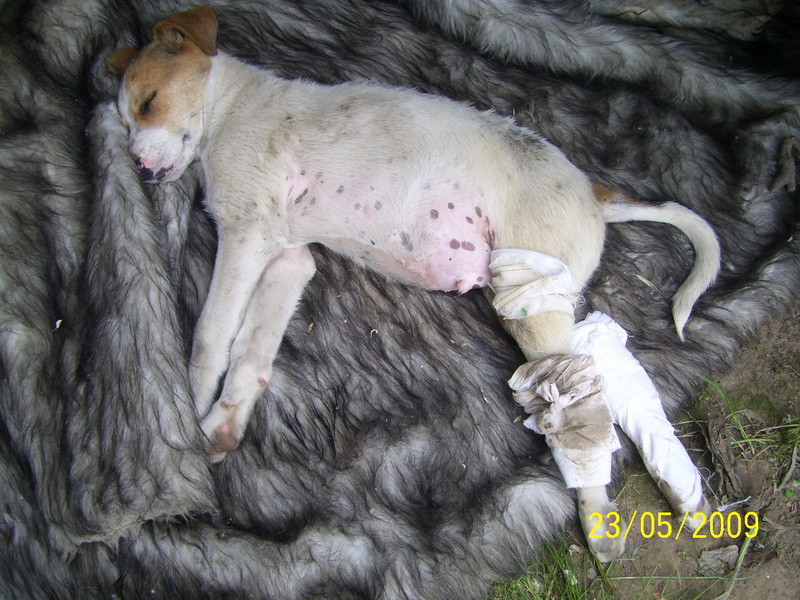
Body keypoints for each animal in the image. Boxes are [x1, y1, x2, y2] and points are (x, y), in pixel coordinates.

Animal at [108, 5, 720, 562]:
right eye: (124, 122)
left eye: (148, 103)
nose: (136, 167)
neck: (228, 104)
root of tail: (594, 193)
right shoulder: (286, 256)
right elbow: (251, 351)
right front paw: (222, 425)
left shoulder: (245, 235)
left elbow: (212, 337)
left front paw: (189, 415)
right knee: (609, 367)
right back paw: (682, 491)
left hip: (529, 297)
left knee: (579, 399)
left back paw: (596, 515)